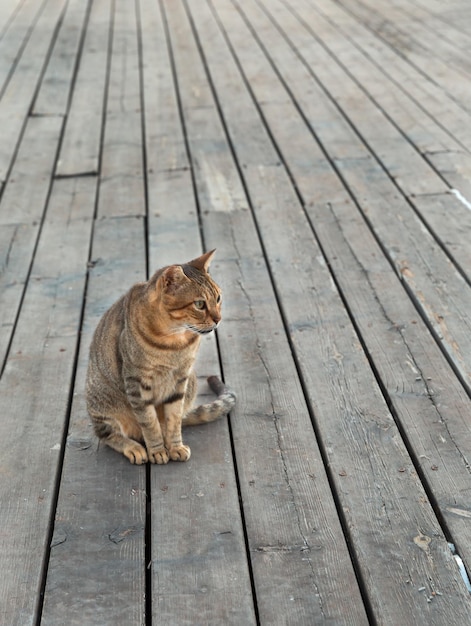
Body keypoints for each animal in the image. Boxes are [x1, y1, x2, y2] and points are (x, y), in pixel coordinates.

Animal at [85, 250, 236, 464]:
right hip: (103, 401)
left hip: (191, 383)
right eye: (199, 304)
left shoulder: (180, 379)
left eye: (218, 298)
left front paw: (175, 446)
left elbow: (173, 420)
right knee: (108, 435)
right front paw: (156, 450)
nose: (218, 319)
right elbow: (149, 422)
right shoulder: (137, 383)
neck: (174, 340)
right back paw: (134, 447)